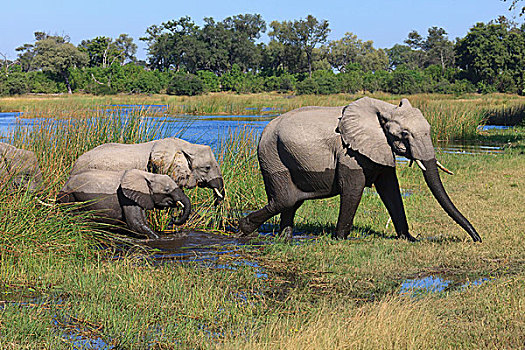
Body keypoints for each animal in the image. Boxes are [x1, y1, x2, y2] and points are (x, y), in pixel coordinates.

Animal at [56, 169, 190, 239]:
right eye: (167, 190)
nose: (174, 218)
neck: (147, 175)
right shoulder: (125, 197)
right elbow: (135, 223)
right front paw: (160, 238)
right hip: (69, 197)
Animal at [239, 97, 482, 242]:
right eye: (404, 134)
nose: (477, 239)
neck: (384, 109)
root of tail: (264, 131)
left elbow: (391, 190)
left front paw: (408, 239)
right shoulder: (348, 152)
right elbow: (354, 189)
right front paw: (340, 239)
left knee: (292, 201)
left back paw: (284, 239)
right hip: (272, 156)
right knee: (285, 199)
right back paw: (244, 229)